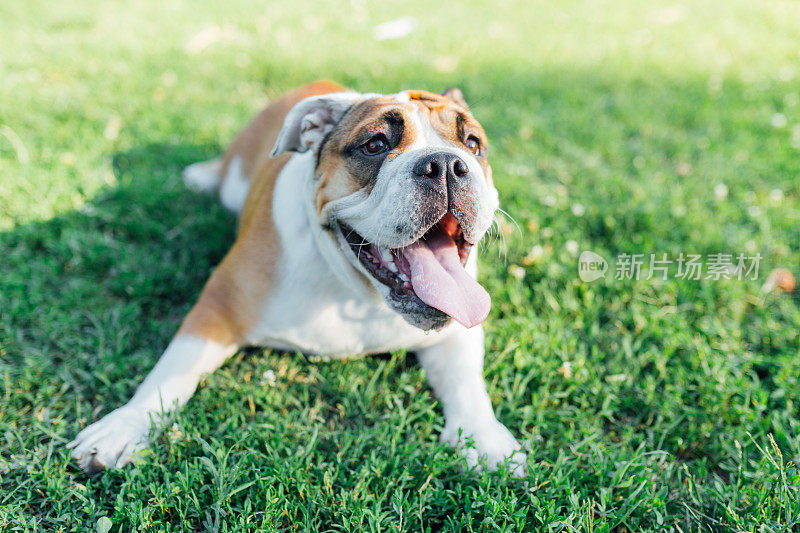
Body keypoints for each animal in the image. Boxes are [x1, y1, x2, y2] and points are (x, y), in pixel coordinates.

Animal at [69, 82, 524, 474]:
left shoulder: (458, 328)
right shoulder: (216, 308)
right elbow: (171, 372)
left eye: (472, 144)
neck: (353, 291)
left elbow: (467, 382)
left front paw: (485, 440)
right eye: (375, 145)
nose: (445, 164)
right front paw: (124, 426)